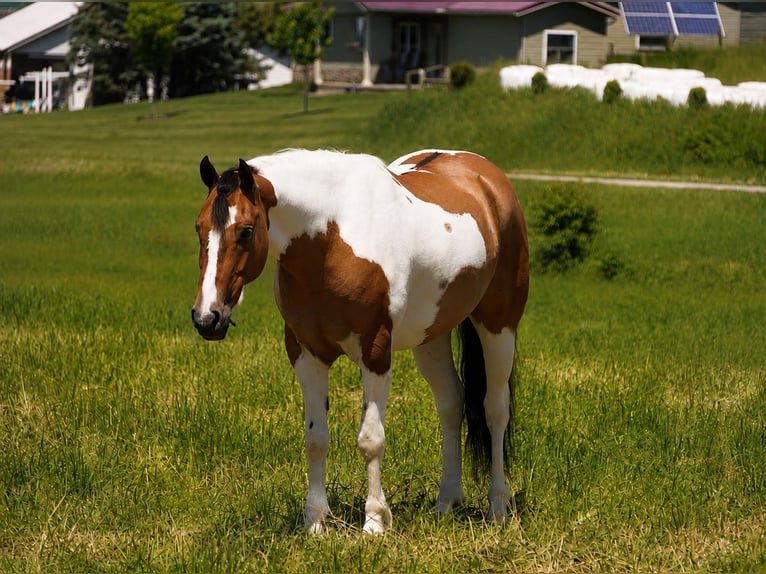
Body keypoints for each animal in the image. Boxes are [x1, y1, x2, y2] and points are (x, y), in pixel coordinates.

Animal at [192, 149, 529, 535]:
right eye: (199, 228)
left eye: (246, 231)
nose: (207, 318)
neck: (332, 238)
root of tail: (486, 176)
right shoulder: (306, 354)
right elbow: (316, 439)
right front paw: (315, 522)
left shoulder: (375, 352)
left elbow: (371, 439)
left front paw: (375, 522)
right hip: (431, 337)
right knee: (451, 404)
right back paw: (447, 502)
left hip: (499, 326)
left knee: (495, 409)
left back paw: (498, 507)